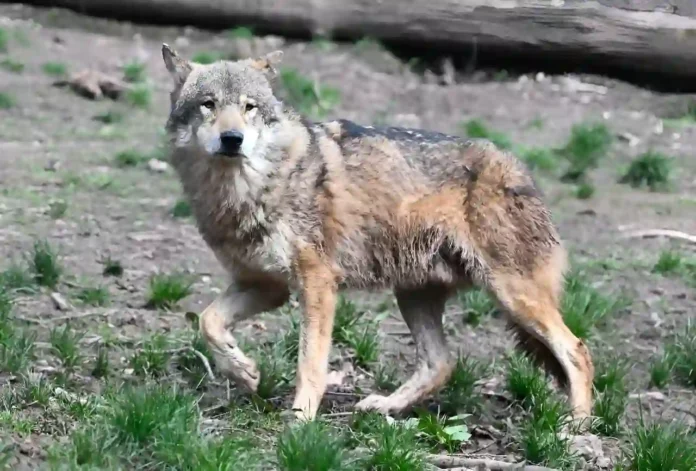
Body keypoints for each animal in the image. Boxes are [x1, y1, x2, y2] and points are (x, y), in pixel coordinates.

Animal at [160, 44, 594, 422]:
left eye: (249, 107)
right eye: (209, 104)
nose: (232, 139)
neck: (248, 190)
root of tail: (520, 169)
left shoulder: (317, 284)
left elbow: (310, 363)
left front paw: (300, 419)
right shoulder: (266, 286)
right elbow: (208, 321)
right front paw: (244, 371)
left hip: (512, 295)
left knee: (577, 350)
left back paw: (575, 428)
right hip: (415, 294)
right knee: (442, 363)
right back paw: (384, 406)